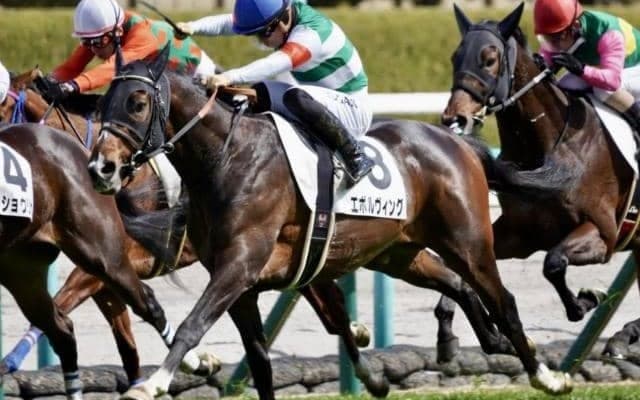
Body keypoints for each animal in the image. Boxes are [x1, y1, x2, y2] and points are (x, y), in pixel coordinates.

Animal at [87, 44, 573, 399]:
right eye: (102, 103)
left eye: (137, 102)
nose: (100, 168)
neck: (229, 157)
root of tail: (455, 141)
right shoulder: (241, 284)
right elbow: (260, 362)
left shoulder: (240, 263)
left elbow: (192, 324)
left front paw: (151, 384)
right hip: (399, 254)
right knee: (457, 285)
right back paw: (482, 342)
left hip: (469, 242)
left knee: (503, 301)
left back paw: (547, 376)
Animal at [441, 3, 640, 359]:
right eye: (455, 57)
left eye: (489, 59)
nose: (455, 118)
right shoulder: (520, 235)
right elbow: (464, 270)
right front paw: (472, 333)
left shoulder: (603, 233)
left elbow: (553, 263)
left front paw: (585, 301)